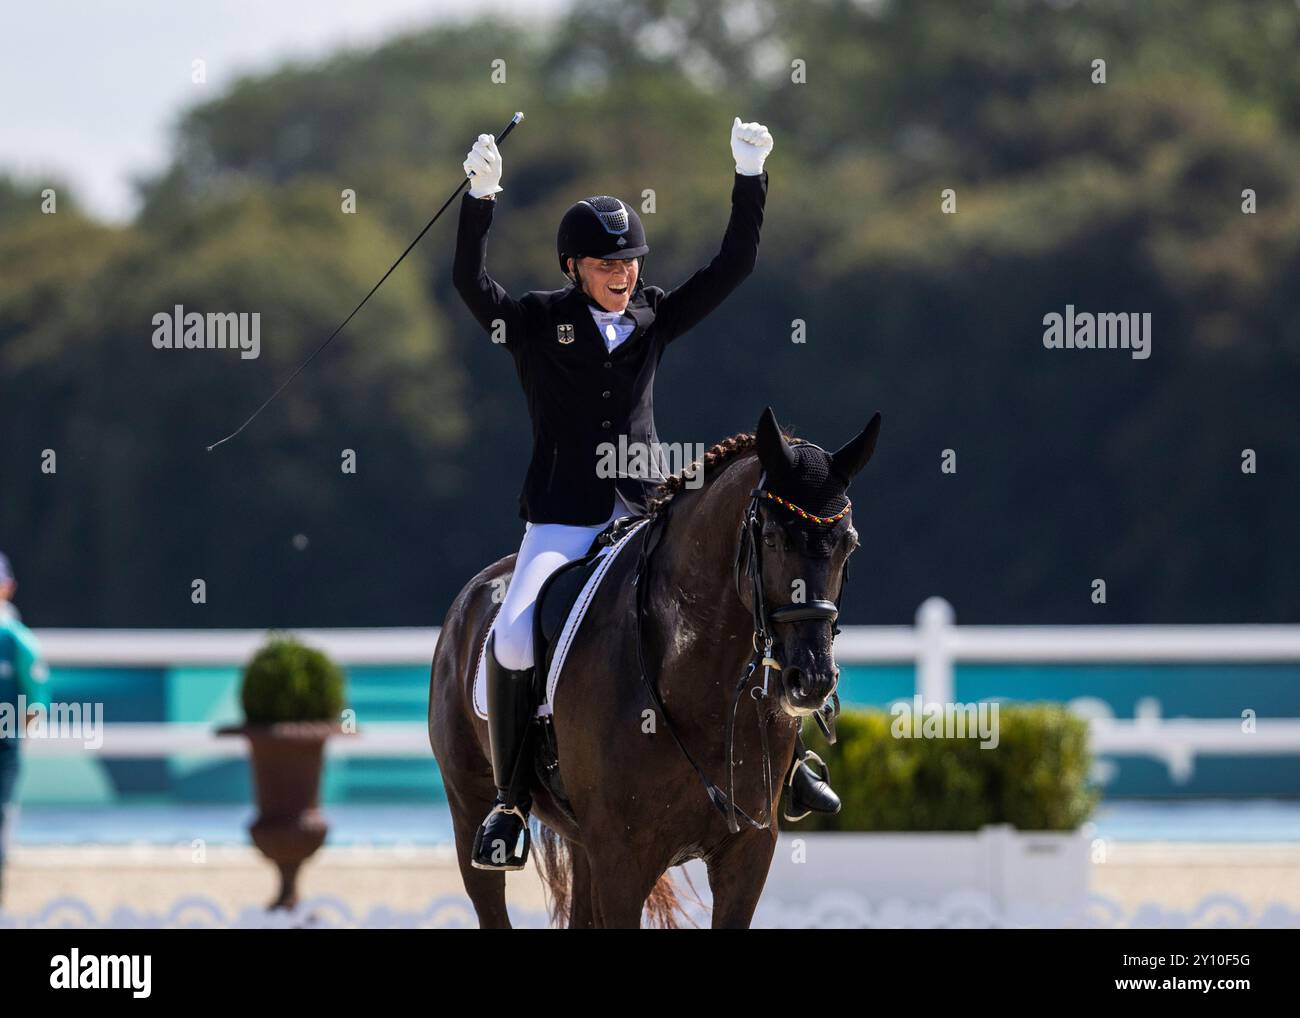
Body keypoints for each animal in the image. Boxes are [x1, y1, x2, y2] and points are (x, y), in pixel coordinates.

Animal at [431, 403, 878, 925]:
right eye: (770, 538)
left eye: (849, 543)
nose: (812, 680)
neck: (702, 686)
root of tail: (473, 593)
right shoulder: (622, 860)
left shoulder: (747, 854)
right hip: (470, 808)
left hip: (582, 845)